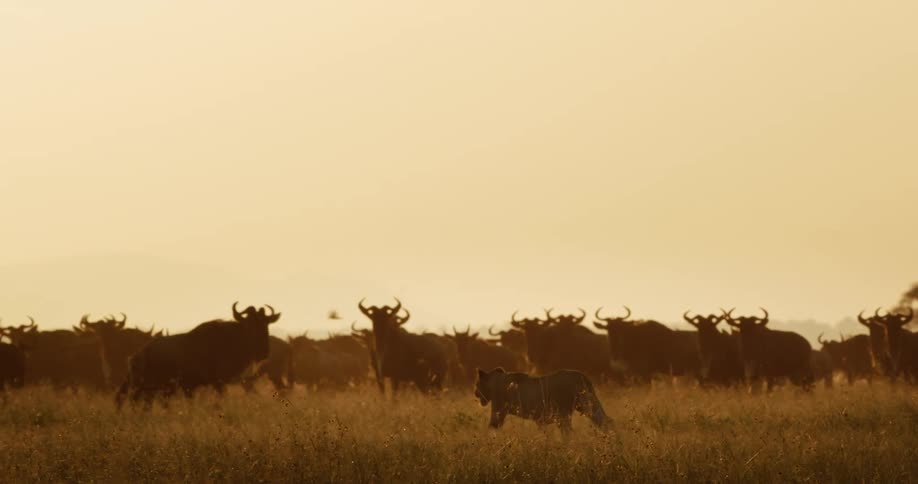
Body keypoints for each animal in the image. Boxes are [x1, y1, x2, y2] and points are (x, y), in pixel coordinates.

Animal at [474, 367, 609, 433]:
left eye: (477, 384)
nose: (475, 393)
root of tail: (582, 376)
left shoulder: (499, 409)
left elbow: (492, 427)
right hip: (587, 405)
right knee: (606, 421)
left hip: (566, 411)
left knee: (568, 431)